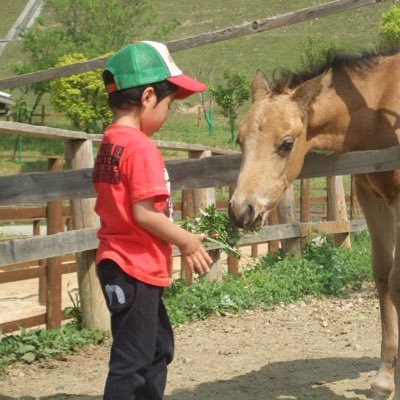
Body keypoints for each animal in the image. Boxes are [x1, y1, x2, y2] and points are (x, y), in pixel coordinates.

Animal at [230, 48, 400, 398]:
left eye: (286, 144)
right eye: (239, 140)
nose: (242, 210)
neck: (377, 106)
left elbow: (398, 281)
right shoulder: (372, 196)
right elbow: (382, 276)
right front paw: (384, 379)